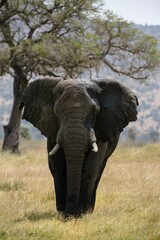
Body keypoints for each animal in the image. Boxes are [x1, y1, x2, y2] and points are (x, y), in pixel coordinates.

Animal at [19, 77, 138, 218]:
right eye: (57, 111)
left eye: (95, 111)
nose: (71, 214)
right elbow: (58, 163)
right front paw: (63, 214)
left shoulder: (100, 128)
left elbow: (92, 164)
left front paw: (81, 213)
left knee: (99, 170)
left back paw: (89, 209)